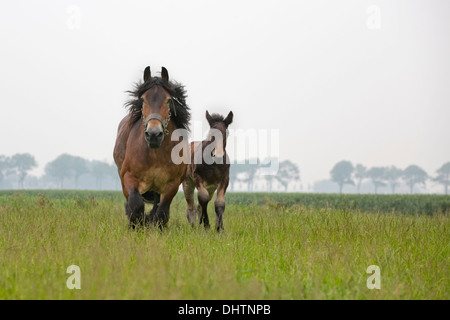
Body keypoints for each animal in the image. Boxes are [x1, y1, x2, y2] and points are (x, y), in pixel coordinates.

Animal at [114, 66, 190, 229]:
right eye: (143, 99)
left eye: (168, 100)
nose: (154, 134)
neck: (154, 154)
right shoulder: (129, 177)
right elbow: (136, 205)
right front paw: (136, 226)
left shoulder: (172, 184)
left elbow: (162, 212)